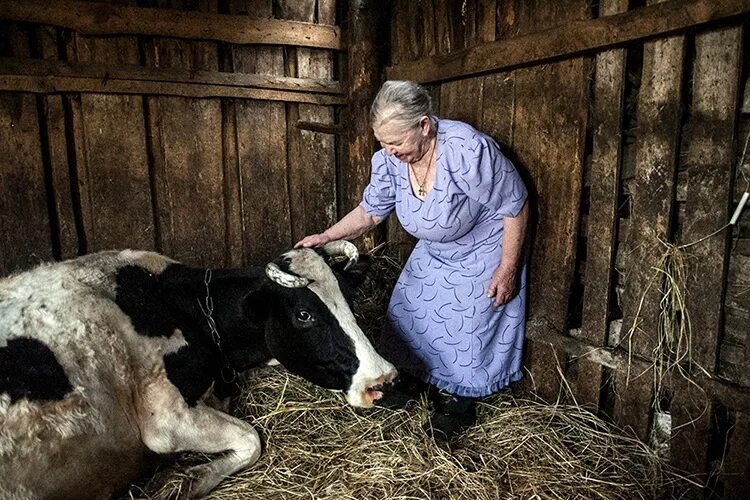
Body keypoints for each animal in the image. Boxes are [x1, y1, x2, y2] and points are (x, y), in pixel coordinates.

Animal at [0, 240, 400, 498]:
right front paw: (188, 482)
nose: (382, 378)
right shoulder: (165, 419)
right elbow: (251, 439)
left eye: (348, 299)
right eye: (304, 314)